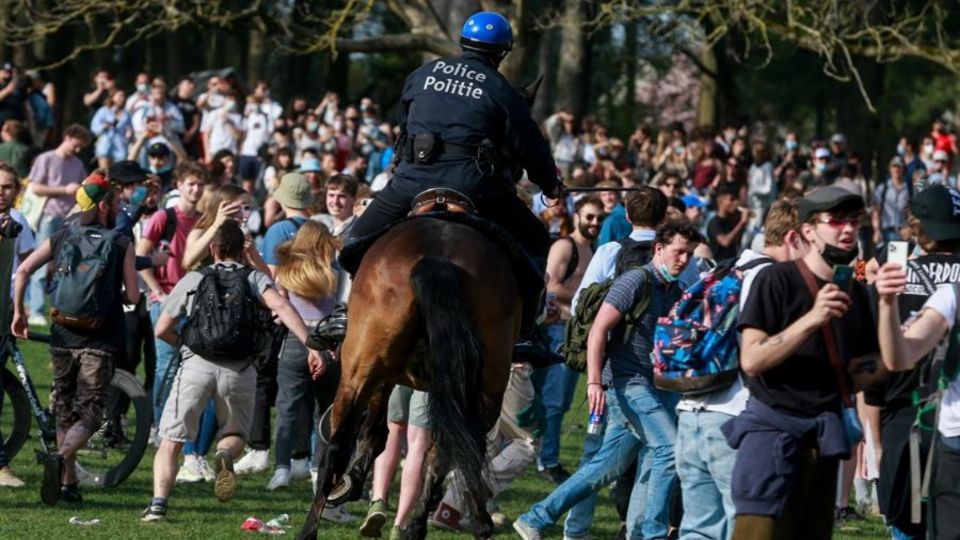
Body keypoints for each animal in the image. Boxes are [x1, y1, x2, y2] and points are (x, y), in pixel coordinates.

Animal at [296, 211, 520, 540]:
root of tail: (438, 259)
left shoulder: (379, 375)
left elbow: (375, 430)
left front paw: (353, 482)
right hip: (484, 391)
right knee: (456, 449)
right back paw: (452, 522)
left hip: (360, 373)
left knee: (337, 447)